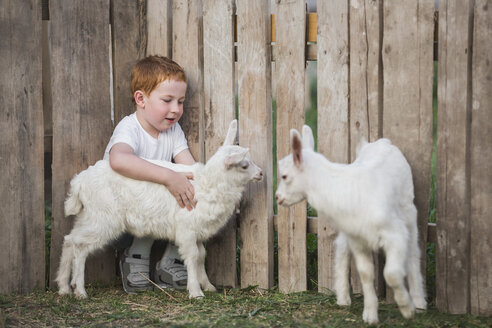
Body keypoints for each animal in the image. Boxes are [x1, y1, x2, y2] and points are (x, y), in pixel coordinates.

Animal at [56, 120, 264, 300]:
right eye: (244, 165)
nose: (261, 173)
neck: (206, 184)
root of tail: (79, 182)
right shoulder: (187, 229)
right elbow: (193, 256)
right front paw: (196, 292)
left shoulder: (197, 230)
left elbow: (201, 256)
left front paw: (209, 286)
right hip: (104, 218)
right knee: (80, 246)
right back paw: (79, 290)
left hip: (89, 216)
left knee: (69, 240)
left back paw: (64, 287)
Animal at [276, 125, 426, 322]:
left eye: (284, 176)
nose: (277, 198)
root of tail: (382, 142)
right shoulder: (357, 239)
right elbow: (366, 273)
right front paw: (370, 314)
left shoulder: (395, 234)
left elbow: (392, 274)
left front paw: (407, 309)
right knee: (341, 246)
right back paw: (342, 297)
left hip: (408, 210)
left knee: (413, 253)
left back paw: (419, 301)